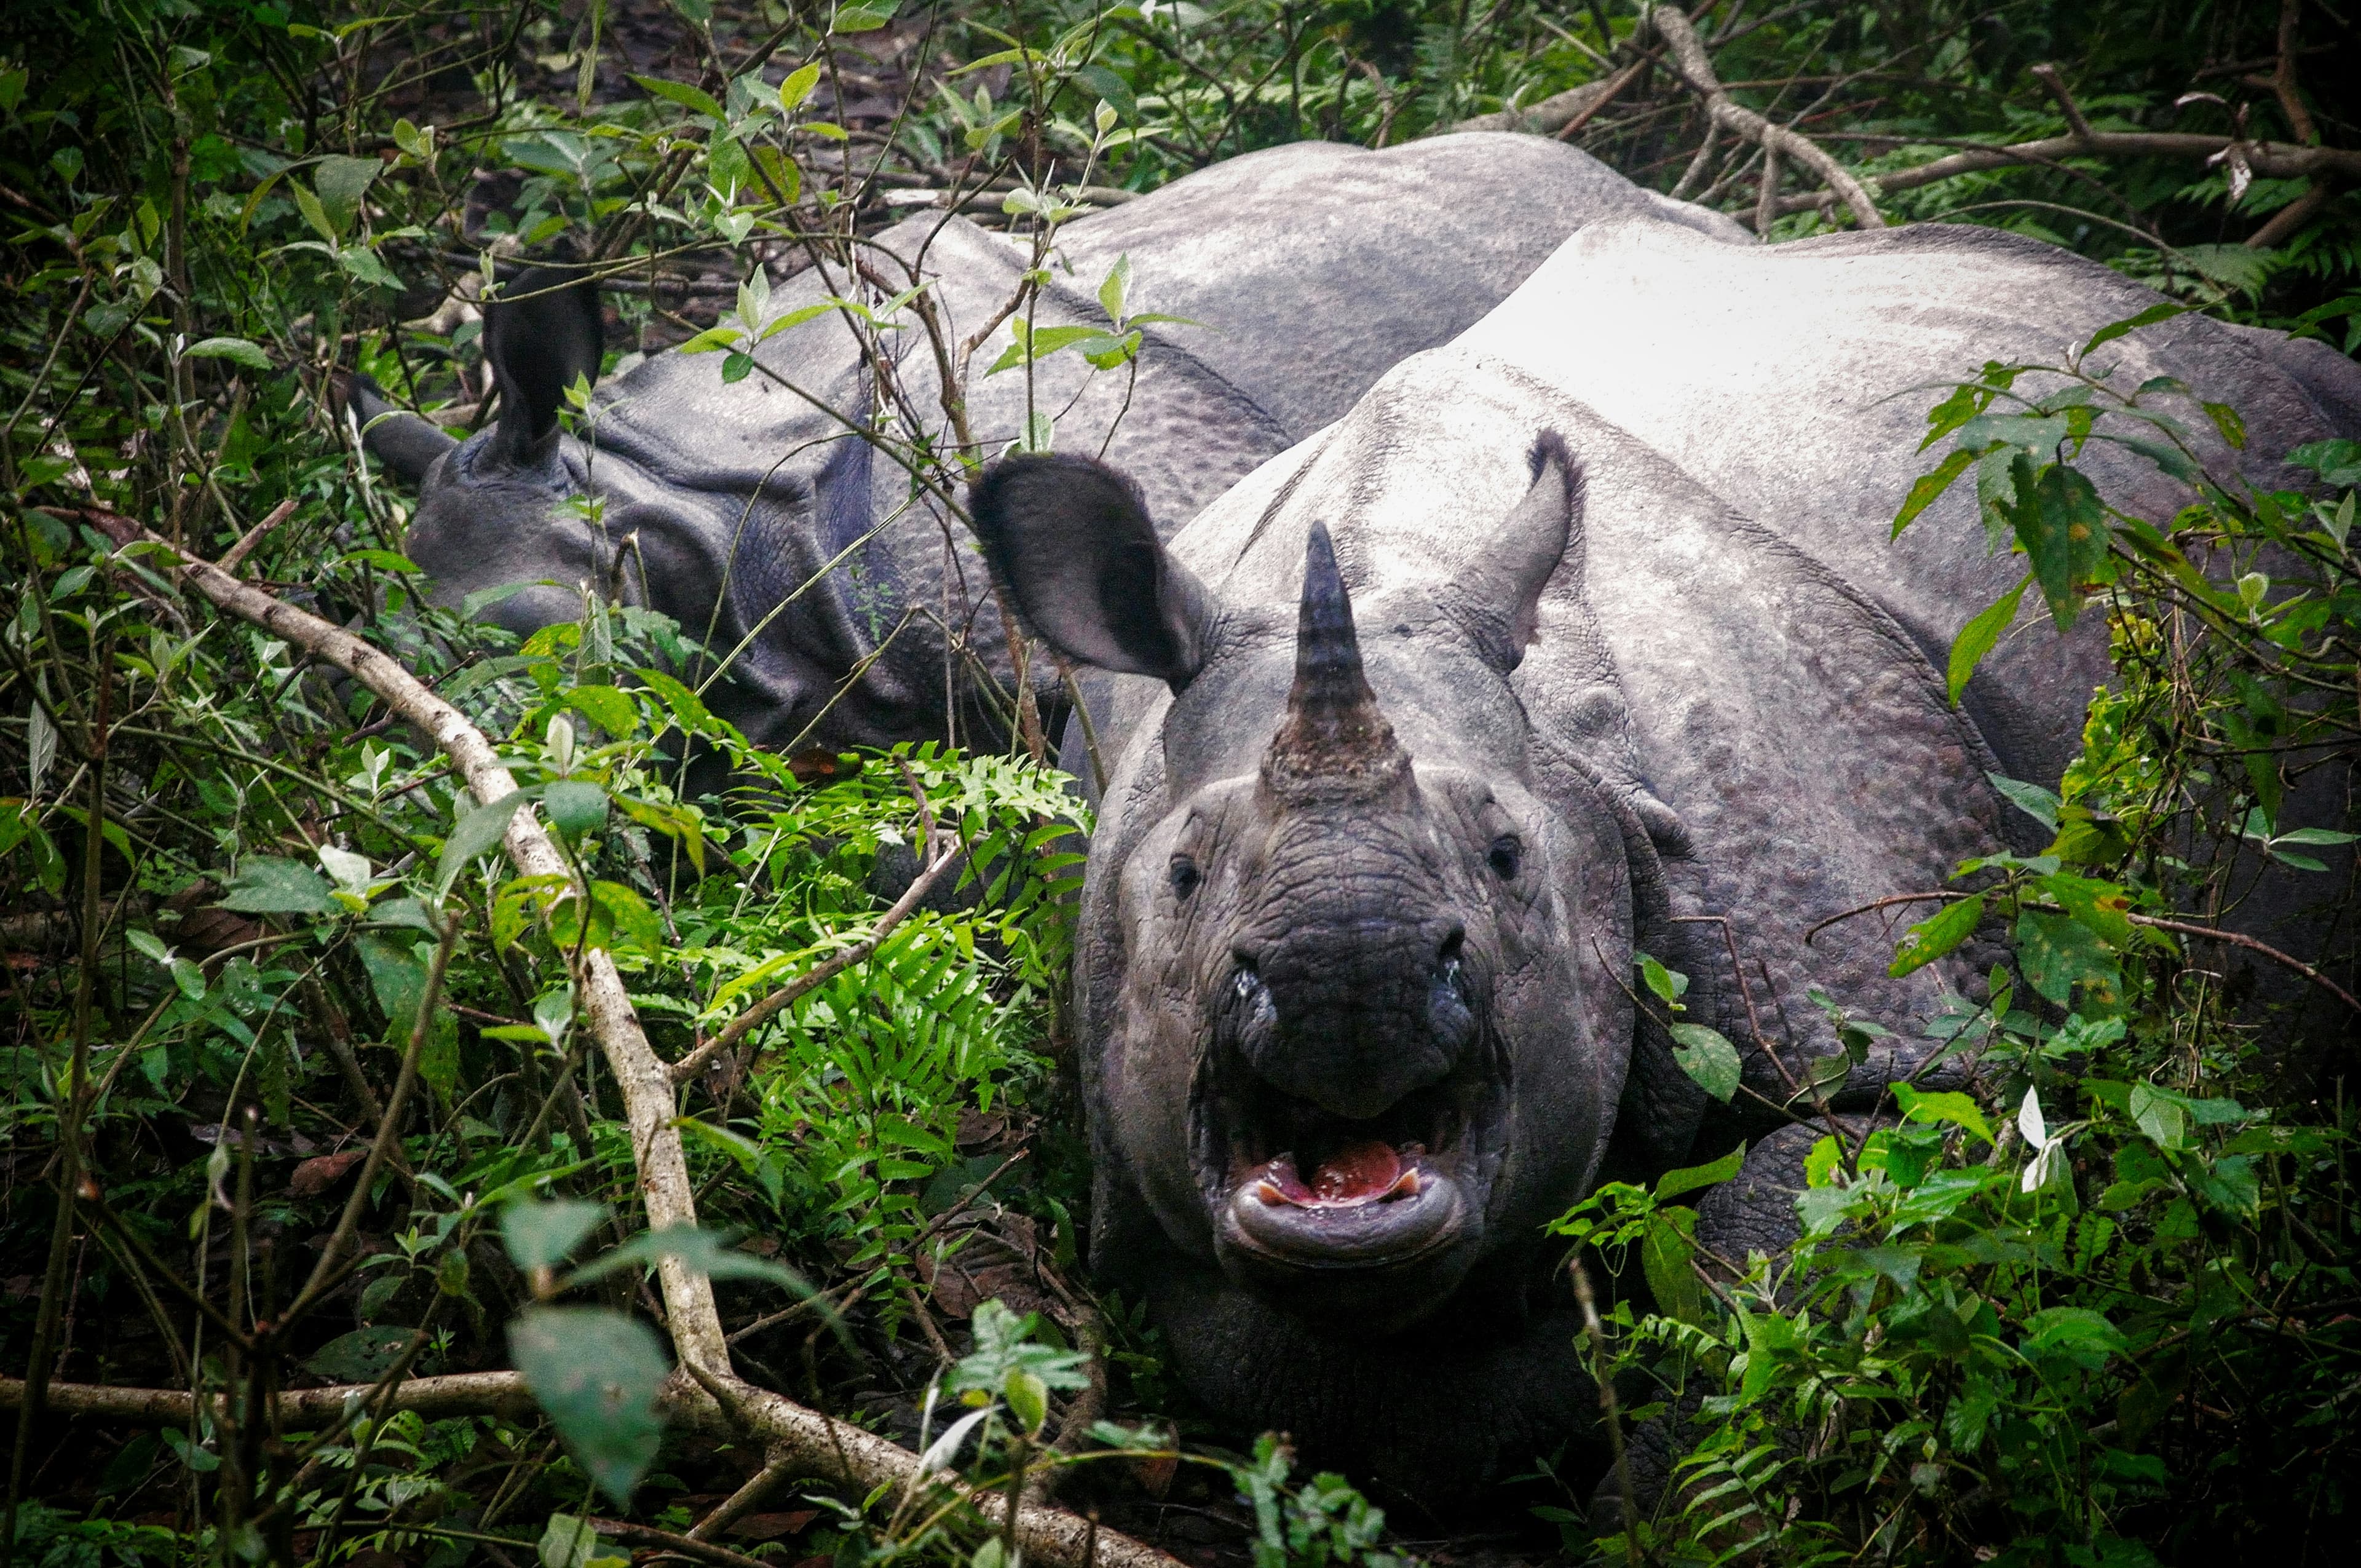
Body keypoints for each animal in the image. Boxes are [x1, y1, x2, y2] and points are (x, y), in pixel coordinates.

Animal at [967, 218, 2360, 1494]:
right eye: (1184, 877)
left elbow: (1788, 1279)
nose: (1347, 970)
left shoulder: (1883, 1014)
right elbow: (1303, 1371)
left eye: (1506, 858)